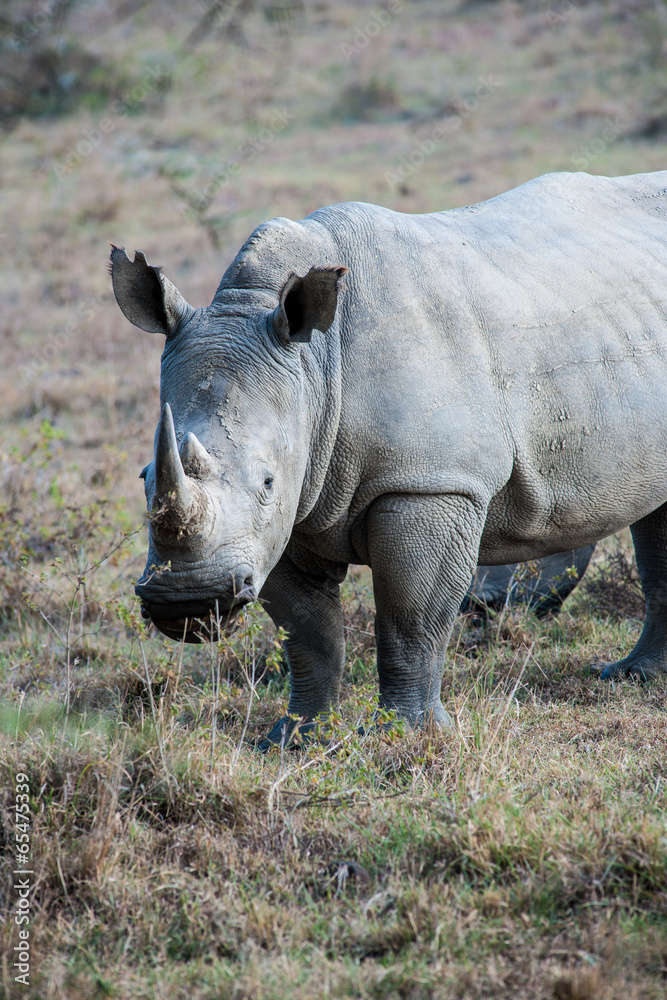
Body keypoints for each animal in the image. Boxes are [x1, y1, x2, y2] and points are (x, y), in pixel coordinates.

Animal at [111, 169, 667, 747]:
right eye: (145, 478)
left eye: (266, 482)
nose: (186, 600)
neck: (315, 364)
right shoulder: (292, 505)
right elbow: (308, 633)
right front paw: (294, 738)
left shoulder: (429, 482)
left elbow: (410, 619)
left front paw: (406, 736)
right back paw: (633, 675)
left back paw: (626, 676)